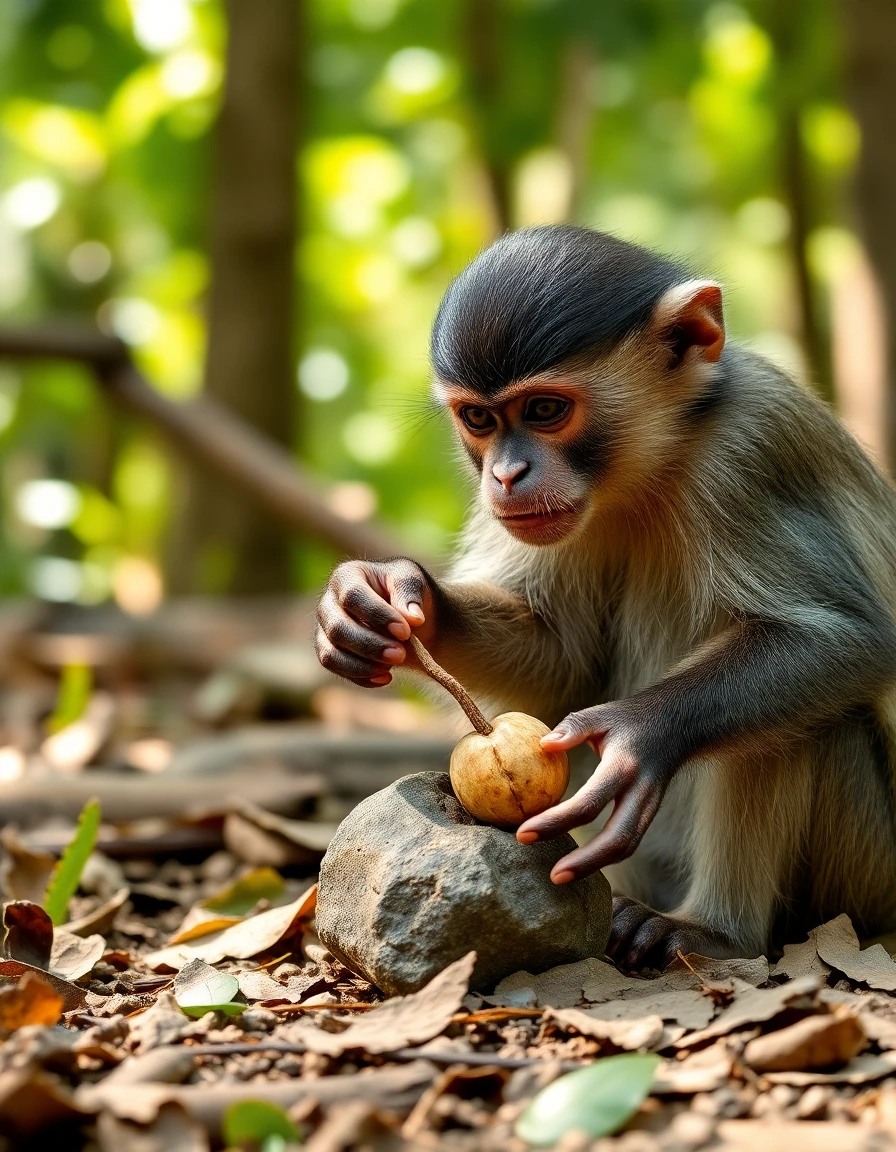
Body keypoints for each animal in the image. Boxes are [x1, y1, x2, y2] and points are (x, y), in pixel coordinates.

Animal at [315, 224, 896, 970]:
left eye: (544, 410)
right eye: (479, 420)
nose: (506, 473)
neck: (656, 463)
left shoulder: (751, 446)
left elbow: (849, 639)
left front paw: (638, 734)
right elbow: (561, 660)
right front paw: (378, 599)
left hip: (870, 870)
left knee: (808, 720)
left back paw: (712, 930)